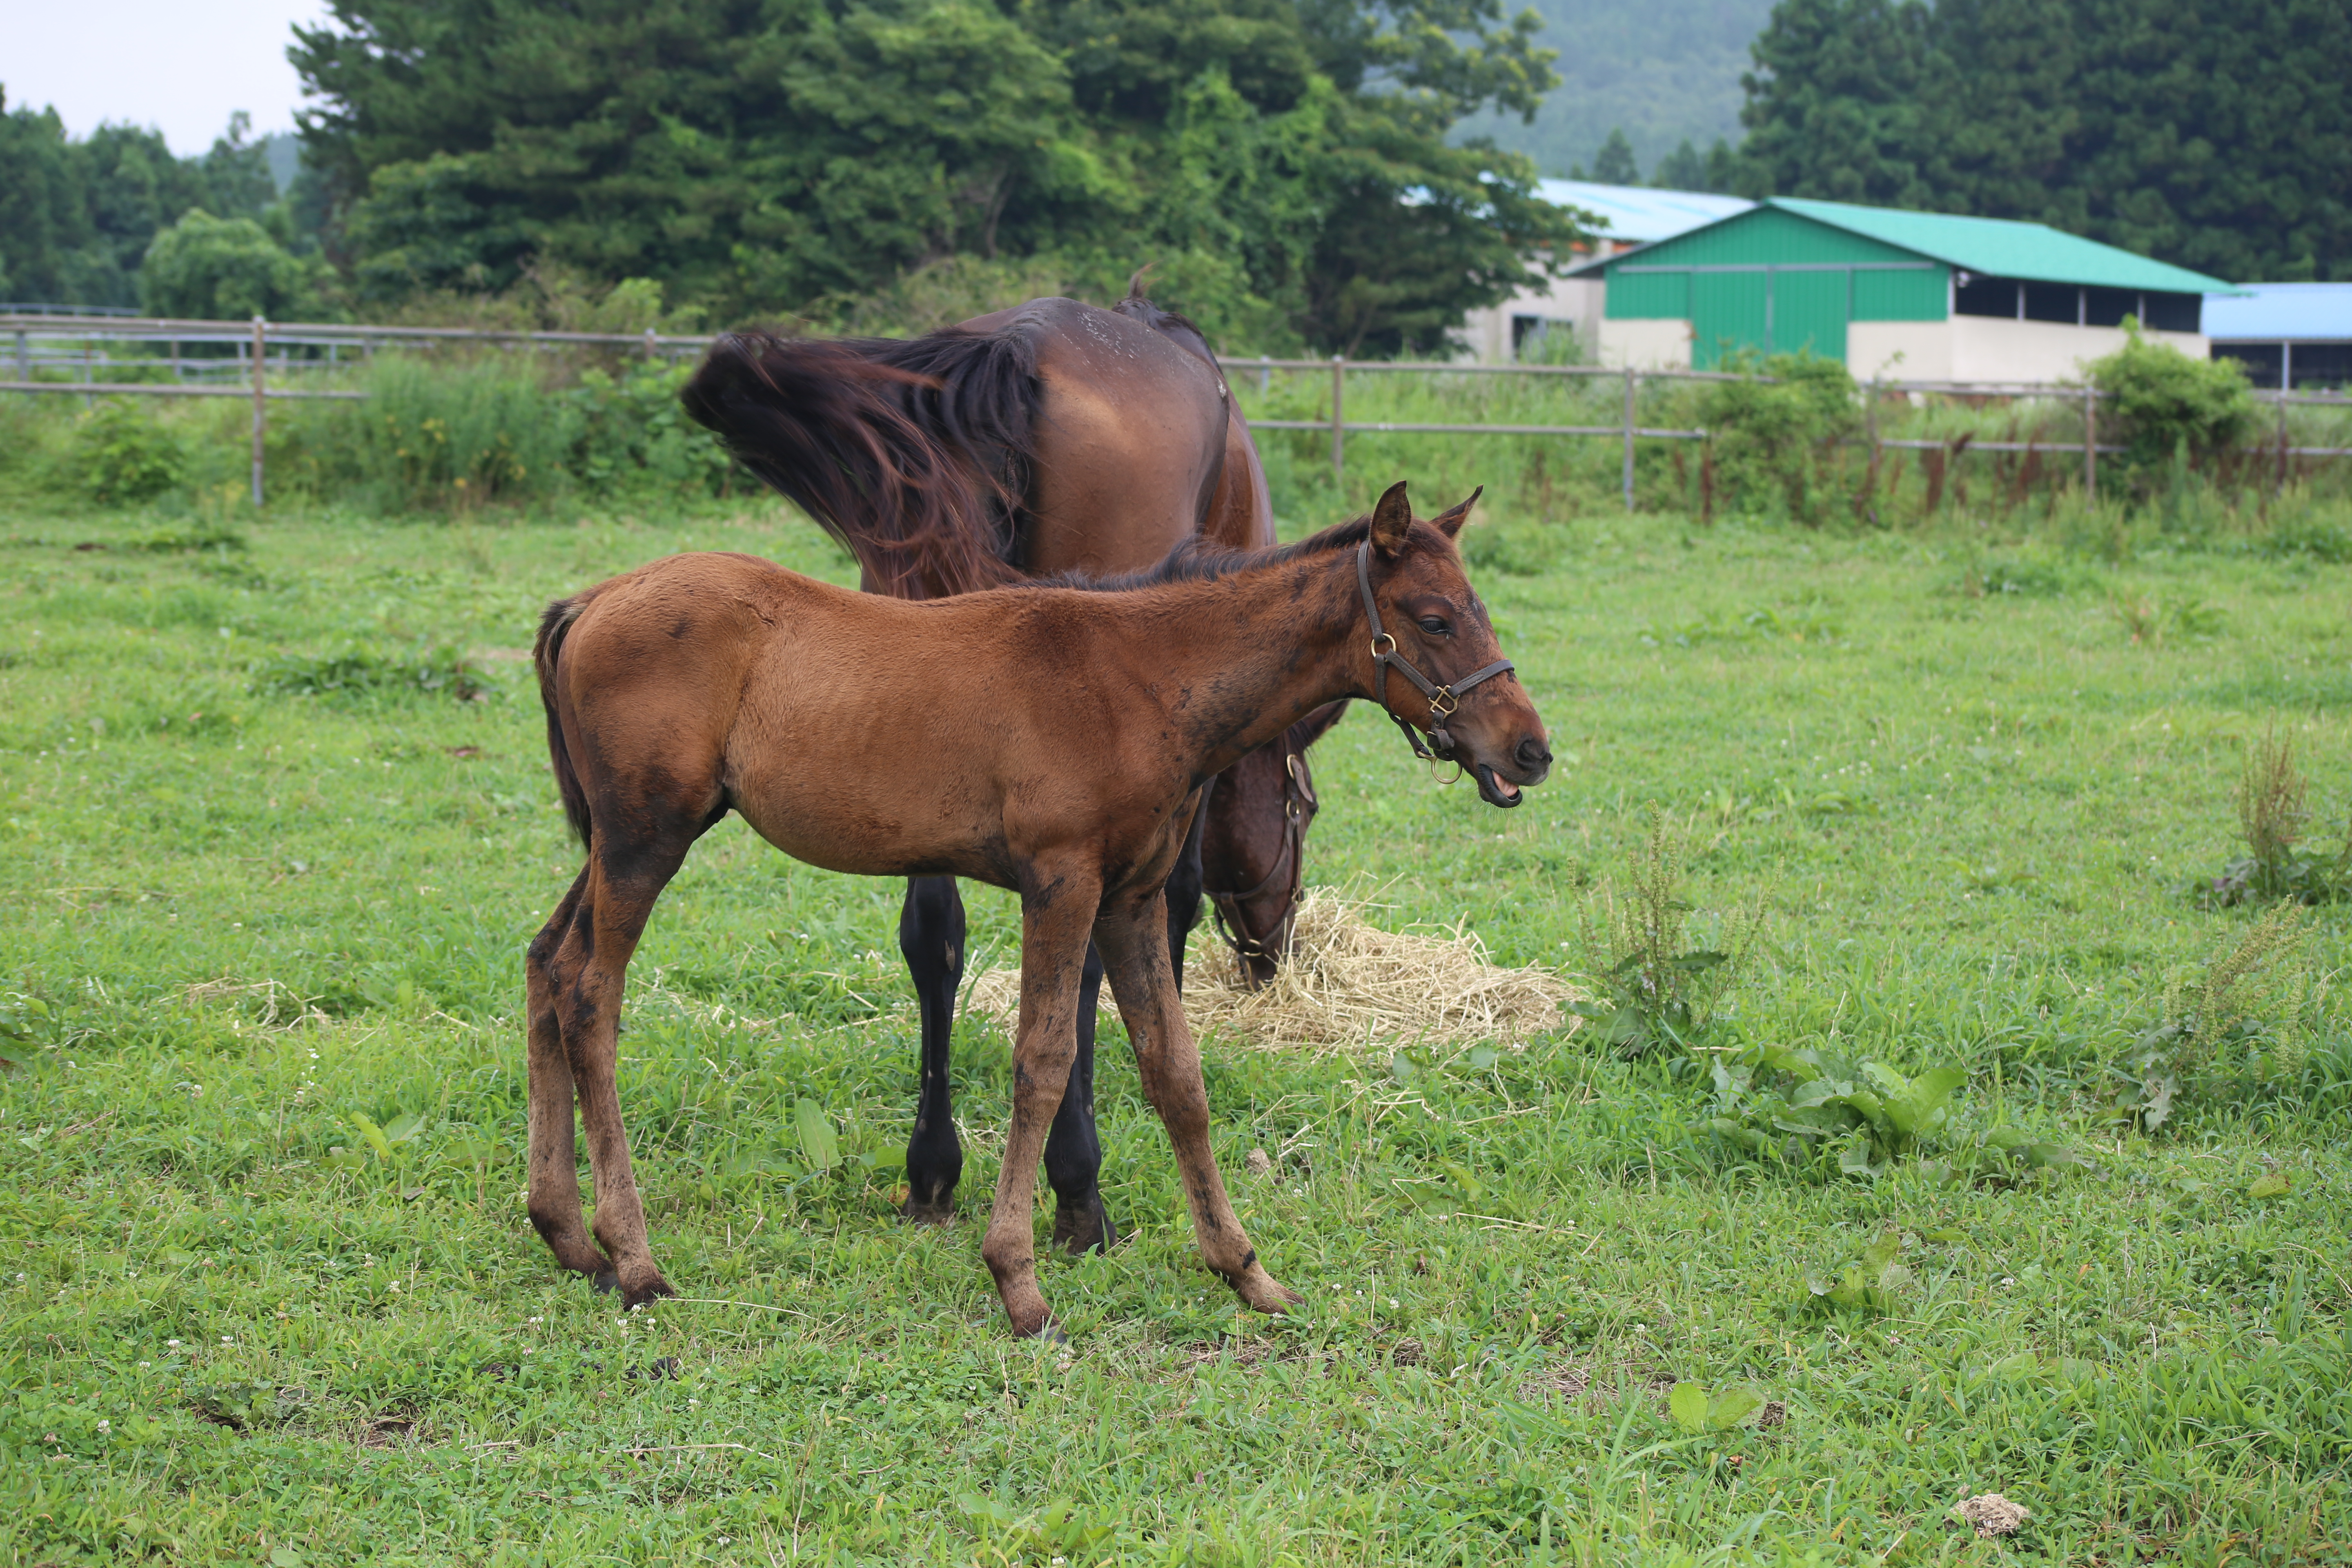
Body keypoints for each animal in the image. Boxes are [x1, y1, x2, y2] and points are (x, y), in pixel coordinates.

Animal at [527, 482, 1552, 1335]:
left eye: (1479, 607)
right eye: (1432, 616)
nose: (1530, 749)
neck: (1141, 677)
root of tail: (591, 601)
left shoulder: (1131, 896)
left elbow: (1175, 1072)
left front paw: (1245, 1270)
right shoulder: (1061, 883)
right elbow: (1045, 1059)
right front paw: (1018, 1282)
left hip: (624, 842)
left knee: (546, 963)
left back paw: (567, 1235)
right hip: (646, 840)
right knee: (591, 996)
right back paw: (634, 1258)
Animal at [686, 288, 1345, 1260]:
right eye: (1305, 811)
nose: (1277, 953)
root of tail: (1020, 351)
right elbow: (1165, 914)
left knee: (933, 932)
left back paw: (933, 1169)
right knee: (1067, 970)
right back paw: (1078, 1189)